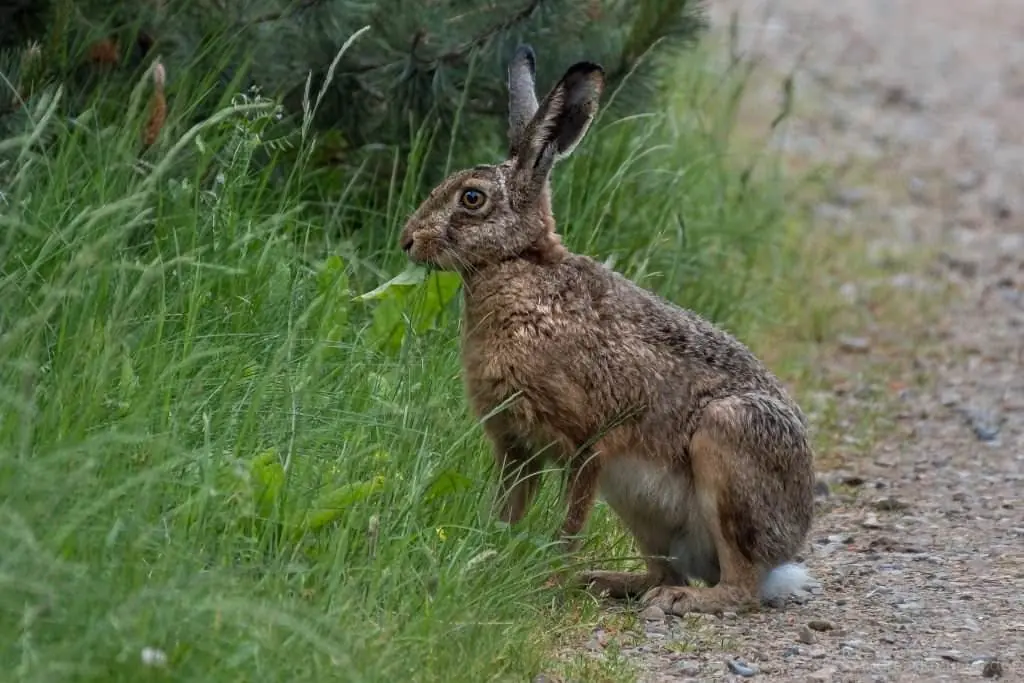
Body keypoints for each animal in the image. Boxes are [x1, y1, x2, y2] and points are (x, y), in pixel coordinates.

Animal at [398, 44, 817, 615]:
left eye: (472, 198)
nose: (407, 239)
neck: (519, 266)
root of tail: (787, 550)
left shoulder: (587, 445)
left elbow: (568, 525)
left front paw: (546, 581)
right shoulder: (515, 449)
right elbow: (506, 513)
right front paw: (485, 560)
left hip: (728, 446)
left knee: (742, 585)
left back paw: (681, 600)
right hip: (639, 506)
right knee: (667, 569)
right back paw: (606, 583)